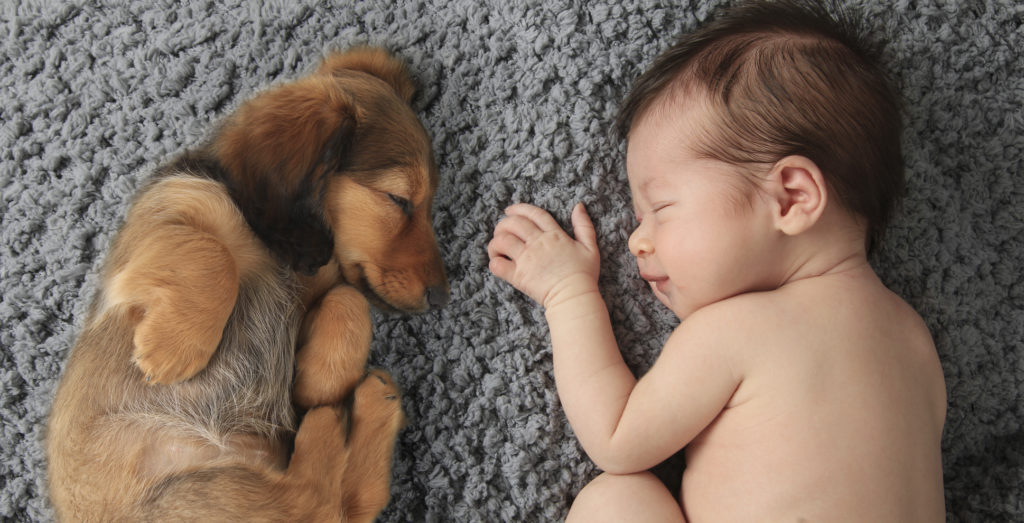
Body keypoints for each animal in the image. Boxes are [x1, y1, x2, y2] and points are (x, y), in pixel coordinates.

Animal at [47, 47, 448, 521]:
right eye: (398, 200)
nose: (441, 297)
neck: (273, 249)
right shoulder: (166, 215)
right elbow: (211, 253)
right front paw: (172, 348)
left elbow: (349, 297)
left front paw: (318, 380)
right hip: (194, 495)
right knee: (316, 501)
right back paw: (334, 422)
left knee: (336, 503)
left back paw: (363, 405)